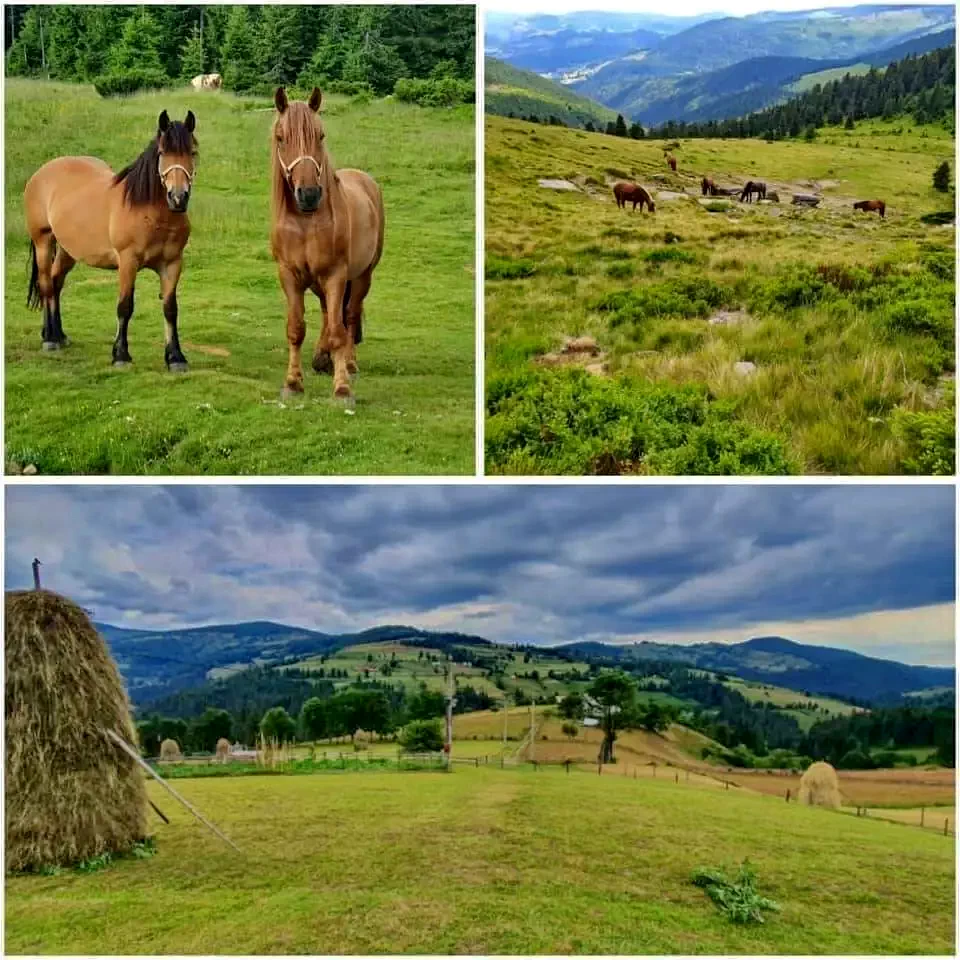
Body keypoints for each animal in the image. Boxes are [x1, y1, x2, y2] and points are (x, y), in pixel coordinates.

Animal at [23, 109, 195, 368]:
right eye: (163, 153)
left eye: (193, 152)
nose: (178, 198)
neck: (149, 212)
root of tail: (42, 172)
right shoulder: (128, 262)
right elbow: (125, 306)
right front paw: (121, 355)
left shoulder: (172, 264)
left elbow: (170, 308)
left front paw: (175, 357)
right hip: (43, 241)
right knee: (45, 285)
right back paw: (50, 340)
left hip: (67, 250)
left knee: (55, 282)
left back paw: (58, 335)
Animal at [270, 82, 382, 398]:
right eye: (281, 137)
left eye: (320, 136)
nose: (308, 194)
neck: (306, 222)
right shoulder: (289, 275)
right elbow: (296, 328)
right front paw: (293, 382)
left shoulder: (336, 275)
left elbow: (338, 331)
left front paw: (342, 386)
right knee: (326, 313)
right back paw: (322, 358)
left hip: (362, 276)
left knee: (350, 315)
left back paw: (349, 364)